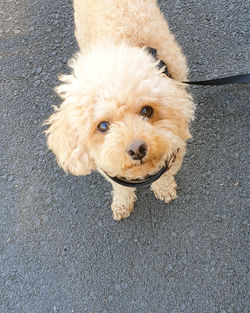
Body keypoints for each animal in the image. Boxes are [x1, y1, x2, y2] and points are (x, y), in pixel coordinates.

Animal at [44, 0, 194, 219]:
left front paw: (164, 189)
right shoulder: (109, 167)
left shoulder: (175, 152)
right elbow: (121, 188)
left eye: (147, 111)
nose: (137, 149)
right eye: (103, 126)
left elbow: (164, 176)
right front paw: (122, 204)